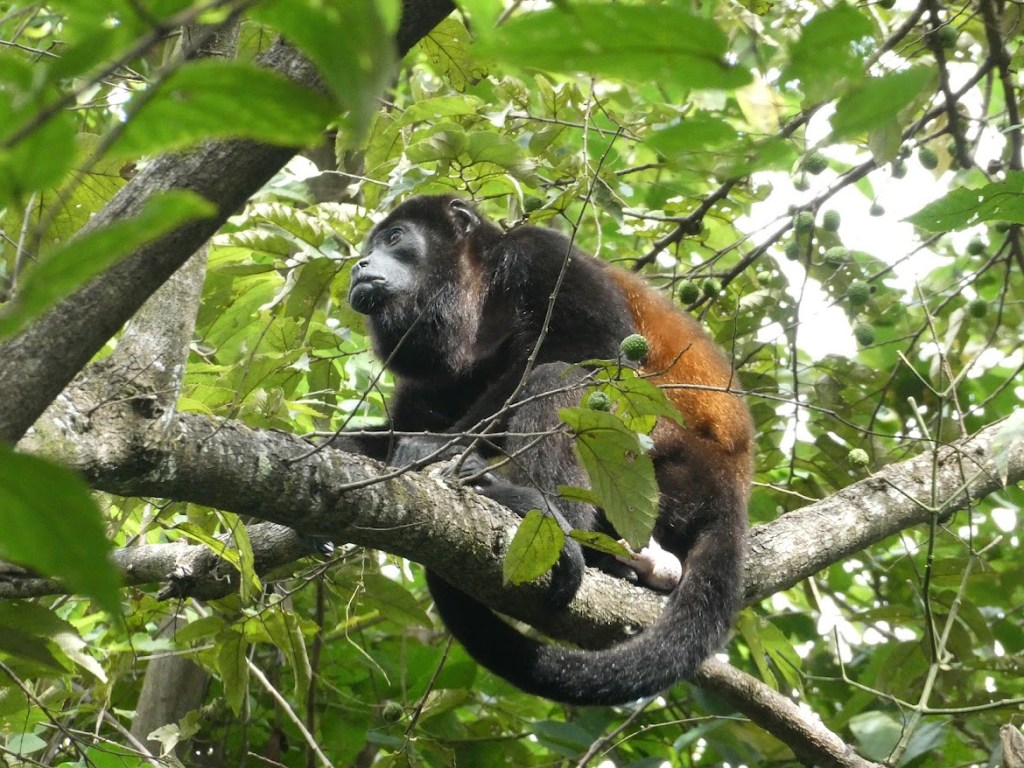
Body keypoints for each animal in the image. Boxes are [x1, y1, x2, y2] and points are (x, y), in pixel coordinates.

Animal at [342, 194, 753, 706]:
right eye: (370, 247)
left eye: (395, 238)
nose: (358, 265)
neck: (476, 290)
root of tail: (734, 479)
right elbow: (396, 427)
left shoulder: (539, 252)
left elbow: (594, 348)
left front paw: (437, 448)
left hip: (670, 458)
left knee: (561, 380)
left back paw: (544, 515)